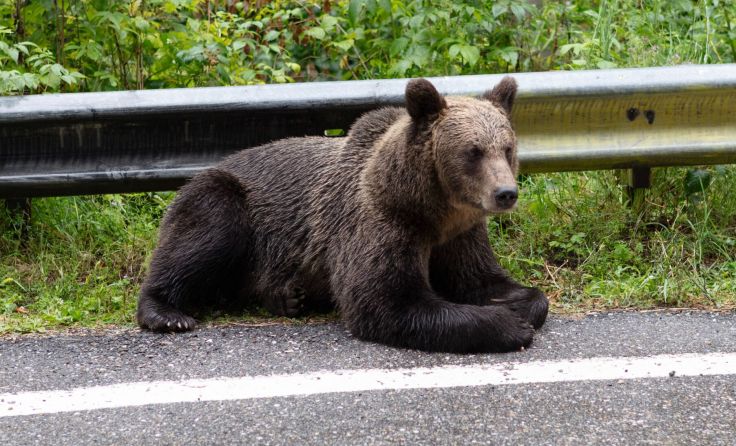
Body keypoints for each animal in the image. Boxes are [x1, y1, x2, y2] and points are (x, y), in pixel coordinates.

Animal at [137, 76, 549, 353]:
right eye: (473, 151)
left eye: (507, 147)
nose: (505, 193)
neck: (431, 209)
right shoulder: (380, 223)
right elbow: (386, 301)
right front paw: (508, 325)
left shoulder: (460, 233)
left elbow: (482, 280)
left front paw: (517, 304)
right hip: (229, 200)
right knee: (205, 231)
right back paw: (166, 312)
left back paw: (288, 297)